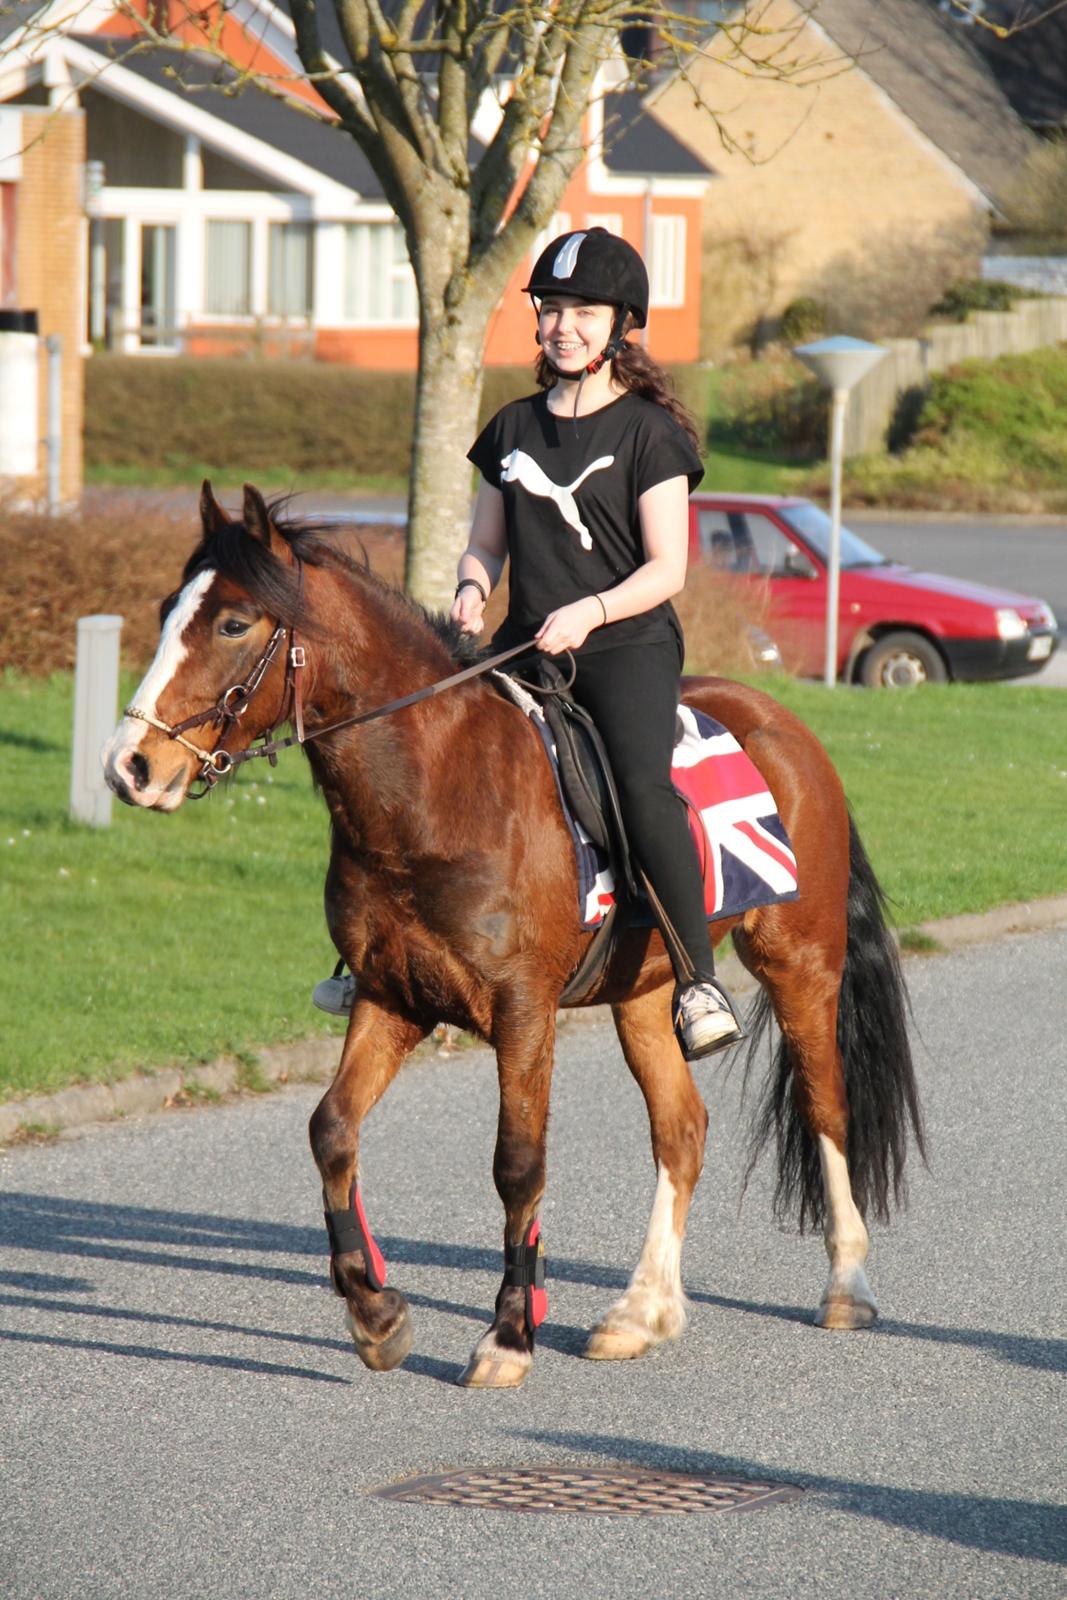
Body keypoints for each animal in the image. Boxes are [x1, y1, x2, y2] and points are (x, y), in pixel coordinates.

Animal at [106, 483, 927, 1388]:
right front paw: (374, 1310)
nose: (130, 765)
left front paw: (506, 1333)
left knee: (827, 1107)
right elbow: (331, 1131)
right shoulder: (392, 999)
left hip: (799, 965)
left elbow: (517, 1164)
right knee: (682, 1131)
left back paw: (845, 1287)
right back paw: (641, 1312)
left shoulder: (522, 1011)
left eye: (232, 623)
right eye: (165, 610)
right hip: (642, 996)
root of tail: (784, 724)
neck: (438, 792)